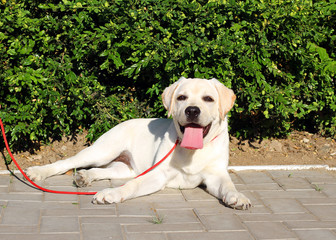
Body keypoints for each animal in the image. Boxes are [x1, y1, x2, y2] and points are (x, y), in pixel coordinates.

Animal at [26, 78, 251, 209]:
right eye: (181, 97)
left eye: (208, 99)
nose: (192, 110)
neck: (193, 151)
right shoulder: (158, 174)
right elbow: (132, 186)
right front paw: (112, 193)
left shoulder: (216, 175)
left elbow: (228, 185)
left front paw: (238, 197)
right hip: (103, 150)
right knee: (68, 162)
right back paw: (38, 172)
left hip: (126, 167)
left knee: (105, 171)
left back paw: (85, 177)